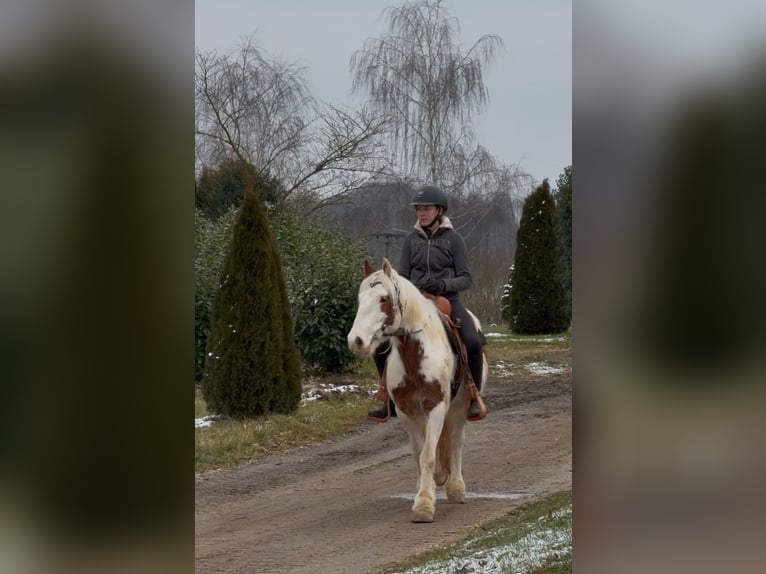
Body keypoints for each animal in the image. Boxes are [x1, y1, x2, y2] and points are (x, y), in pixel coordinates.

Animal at [346, 258, 488, 524]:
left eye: (383, 298)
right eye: (360, 298)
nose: (356, 341)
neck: (414, 353)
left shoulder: (436, 406)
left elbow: (428, 456)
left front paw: (423, 505)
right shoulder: (407, 412)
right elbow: (419, 454)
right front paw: (426, 491)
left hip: (459, 408)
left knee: (456, 443)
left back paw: (456, 488)